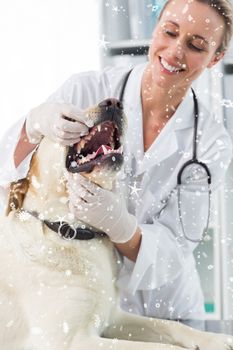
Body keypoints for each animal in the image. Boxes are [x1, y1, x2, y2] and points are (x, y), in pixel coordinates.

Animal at [0, 99, 233, 350]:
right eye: (70, 117)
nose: (112, 102)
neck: (69, 230)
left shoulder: (114, 317)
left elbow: (171, 325)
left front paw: (216, 339)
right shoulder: (70, 340)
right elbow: (162, 347)